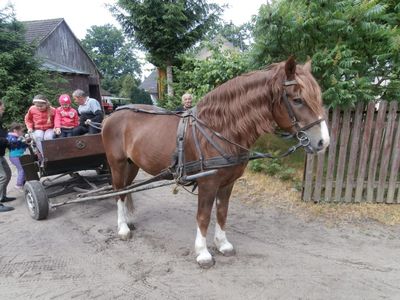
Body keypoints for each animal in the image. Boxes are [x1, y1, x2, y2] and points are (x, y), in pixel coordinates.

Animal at [101, 56, 330, 268]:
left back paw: (128, 221)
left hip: (132, 164)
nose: (323, 142)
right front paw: (203, 253)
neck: (219, 129)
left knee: (126, 190)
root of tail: (112, 115)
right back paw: (122, 228)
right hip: (117, 164)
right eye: (297, 99)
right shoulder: (208, 183)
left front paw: (222, 244)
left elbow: (222, 212)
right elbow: (203, 216)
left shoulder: (227, 183)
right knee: (118, 191)